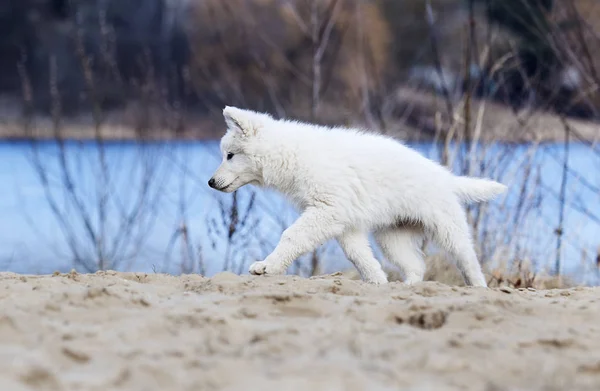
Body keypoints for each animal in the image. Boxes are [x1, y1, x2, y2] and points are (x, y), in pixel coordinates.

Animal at [209, 107, 504, 288]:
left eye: (230, 156)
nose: (210, 182)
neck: (290, 155)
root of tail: (446, 177)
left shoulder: (326, 210)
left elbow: (290, 236)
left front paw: (267, 266)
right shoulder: (344, 223)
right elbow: (359, 256)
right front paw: (377, 281)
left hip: (447, 229)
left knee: (469, 261)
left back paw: (478, 287)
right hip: (392, 238)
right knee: (416, 266)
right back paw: (407, 287)